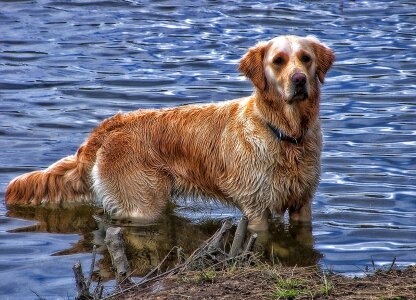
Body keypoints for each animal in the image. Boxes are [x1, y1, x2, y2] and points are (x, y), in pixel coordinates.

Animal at [4, 36, 334, 231]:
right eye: (278, 61)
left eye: (305, 58)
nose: (299, 80)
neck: (285, 133)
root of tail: (112, 123)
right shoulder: (257, 209)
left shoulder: (303, 203)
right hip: (143, 205)